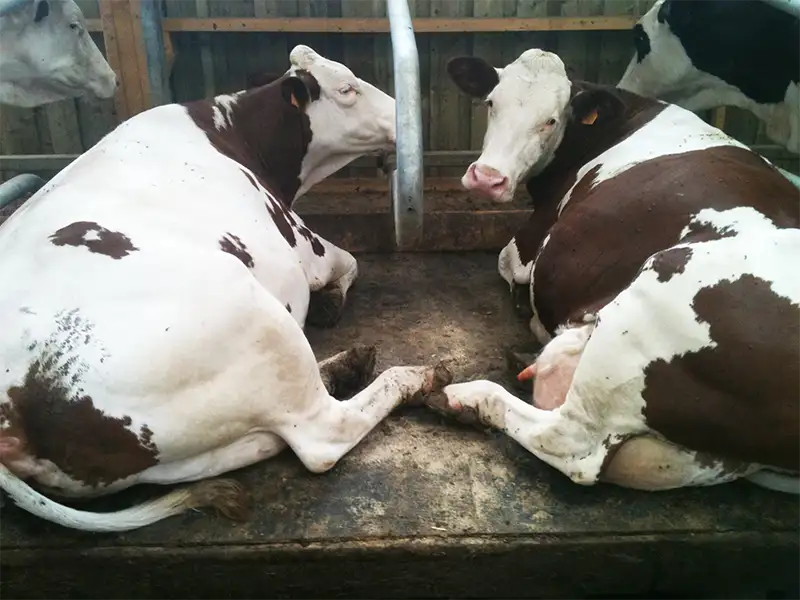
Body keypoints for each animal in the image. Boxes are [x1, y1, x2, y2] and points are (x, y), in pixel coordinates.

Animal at [0, 44, 451, 532]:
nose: (401, 117)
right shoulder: (302, 245)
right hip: (252, 313)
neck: (233, 131)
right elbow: (349, 260)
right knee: (324, 434)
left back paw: (347, 363)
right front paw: (332, 301)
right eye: (347, 88)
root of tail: (14, 417)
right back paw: (416, 375)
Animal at [424, 47, 800, 494]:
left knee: (569, 443)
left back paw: (464, 396)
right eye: (491, 103)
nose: (487, 178)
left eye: (551, 120)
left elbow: (506, 263)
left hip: (647, 309)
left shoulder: (528, 248)